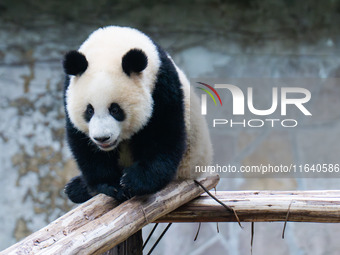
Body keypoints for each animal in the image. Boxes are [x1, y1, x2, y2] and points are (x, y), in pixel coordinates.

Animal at [62, 25, 211, 203]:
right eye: (89, 110)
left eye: (115, 110)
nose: (102, 138)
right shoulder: (68, 90)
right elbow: (84, 145)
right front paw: (112, 185)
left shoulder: (162, 85)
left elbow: (163, 134)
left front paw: (134, 181)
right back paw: (77, 188)